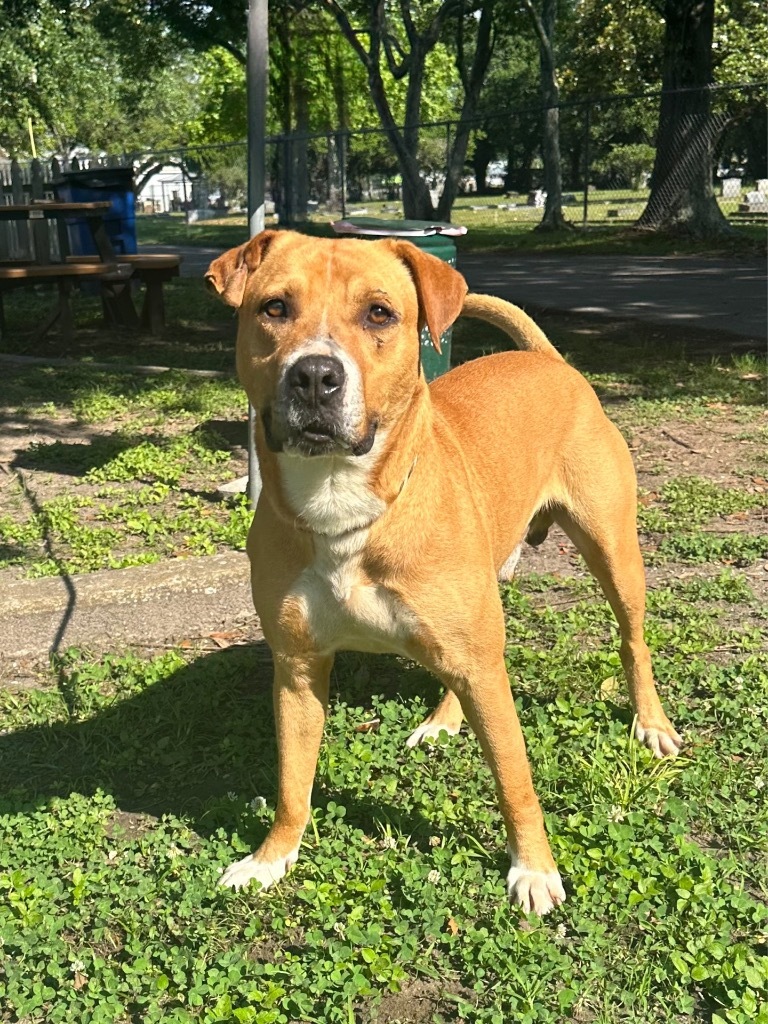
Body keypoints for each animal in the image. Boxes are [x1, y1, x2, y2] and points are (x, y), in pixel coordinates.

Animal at [207, 234, 684, 921]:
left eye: (379, 313)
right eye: (274, 307)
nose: (316, 375)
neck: (342, 507)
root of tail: (549, 362)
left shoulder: (488, 672)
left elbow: (514, 778)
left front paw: (533, 870)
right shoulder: (296, 669)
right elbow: (293, 781)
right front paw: (272, 858)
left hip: (613, 553)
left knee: (632, 640)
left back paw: (651, 723)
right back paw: (444, 720)